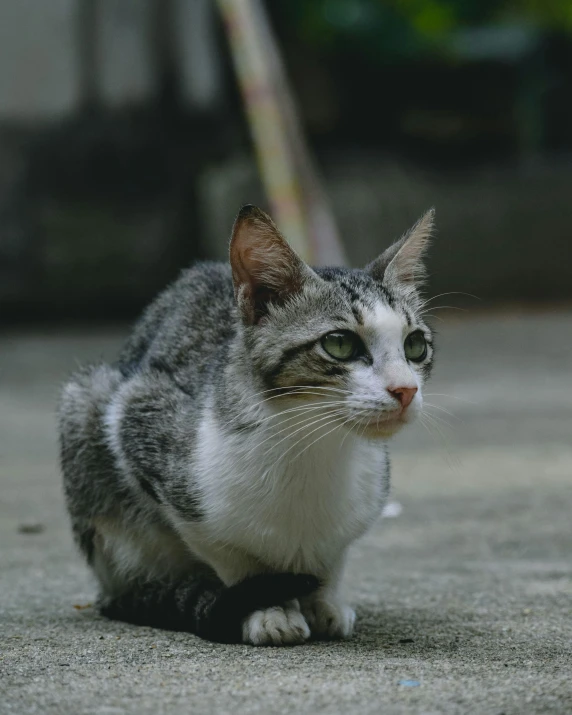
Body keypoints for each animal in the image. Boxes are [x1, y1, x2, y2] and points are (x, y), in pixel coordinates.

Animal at [58, 204, 434, 648]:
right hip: (86, 402)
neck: (311, 448)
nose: (406, 389)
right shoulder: (138, 418)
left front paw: (324, 601)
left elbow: (332, 557)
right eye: (340, 344)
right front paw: (270, 608)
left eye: (415, 345)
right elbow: (233, 557)